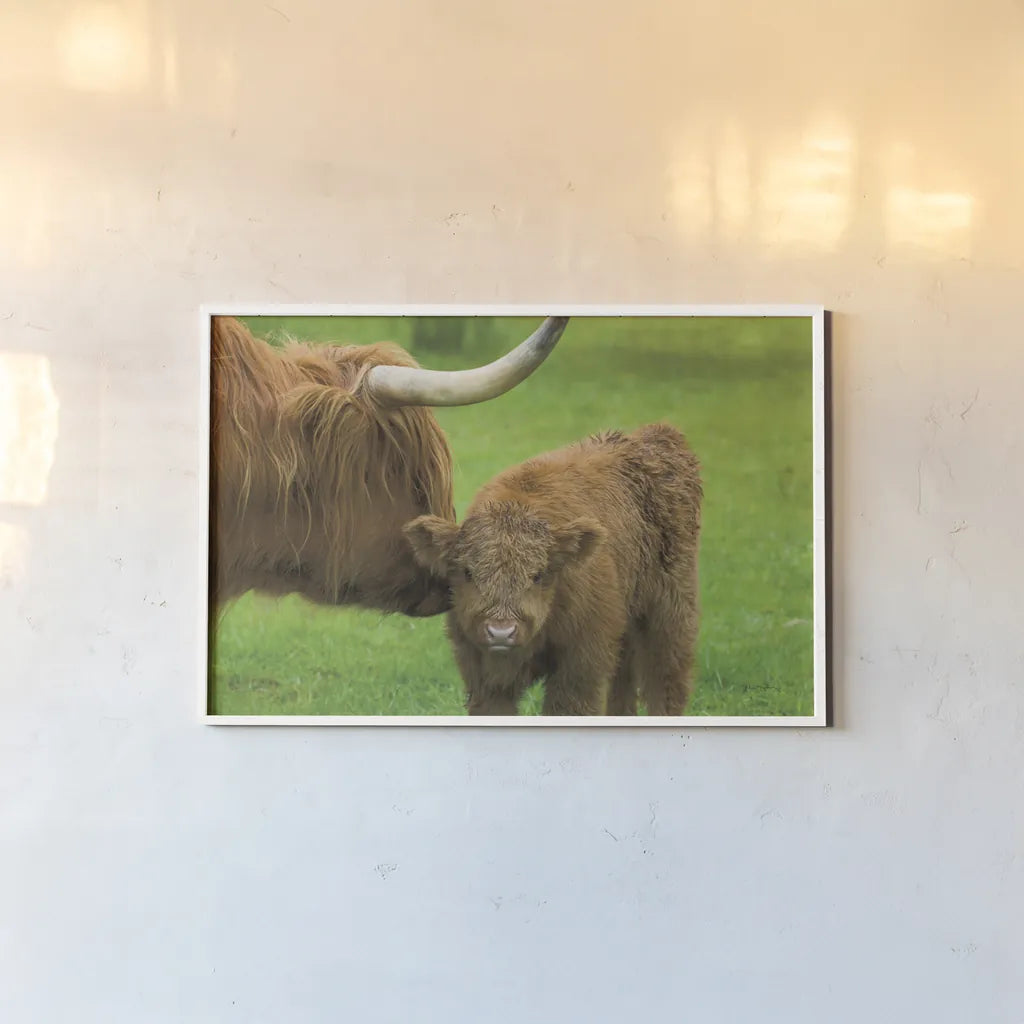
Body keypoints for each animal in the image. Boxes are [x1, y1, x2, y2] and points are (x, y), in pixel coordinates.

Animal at [404, 424, 702, 715]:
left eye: (538, 575)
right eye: (468, 572)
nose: (501, 631)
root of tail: (657, 436)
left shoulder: (580, 664)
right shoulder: (483, 676)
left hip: (670, 614)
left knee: (667, 681)